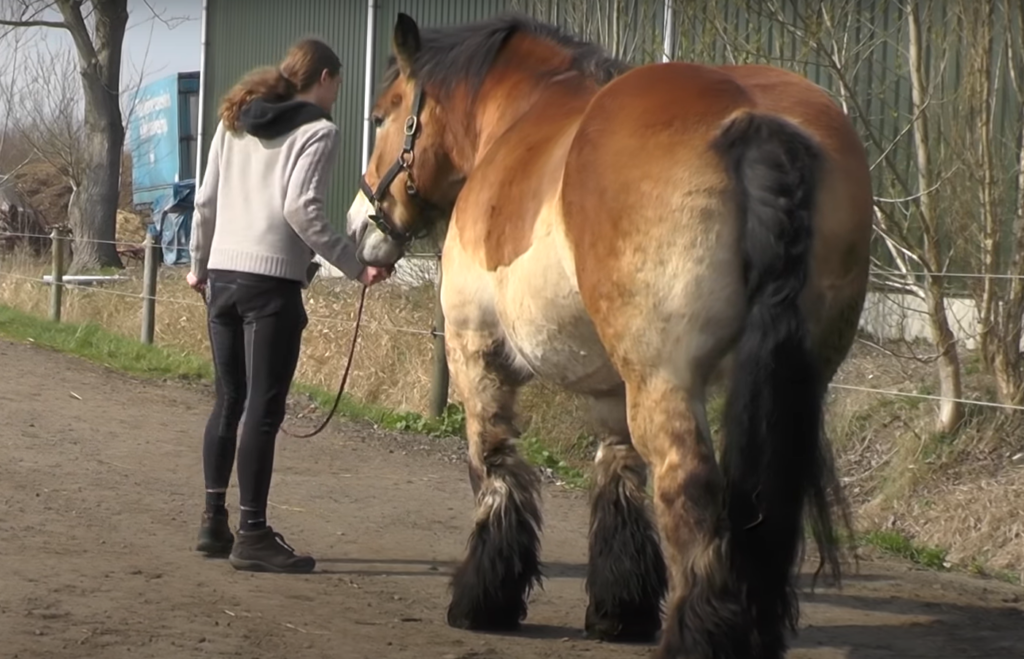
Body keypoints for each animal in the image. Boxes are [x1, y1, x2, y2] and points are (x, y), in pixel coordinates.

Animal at [345, 12, 873, 659]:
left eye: (381, 115)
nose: (360, 226)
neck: (519, 120)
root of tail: (755, 121)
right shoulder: (607, 387)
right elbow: (617, 476)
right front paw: (621, 609)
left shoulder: (476, 350)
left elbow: (494, 462)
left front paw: (484, 599)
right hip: (795, 380)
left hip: (664, 380)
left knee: (689, 488)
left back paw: (699, 637)